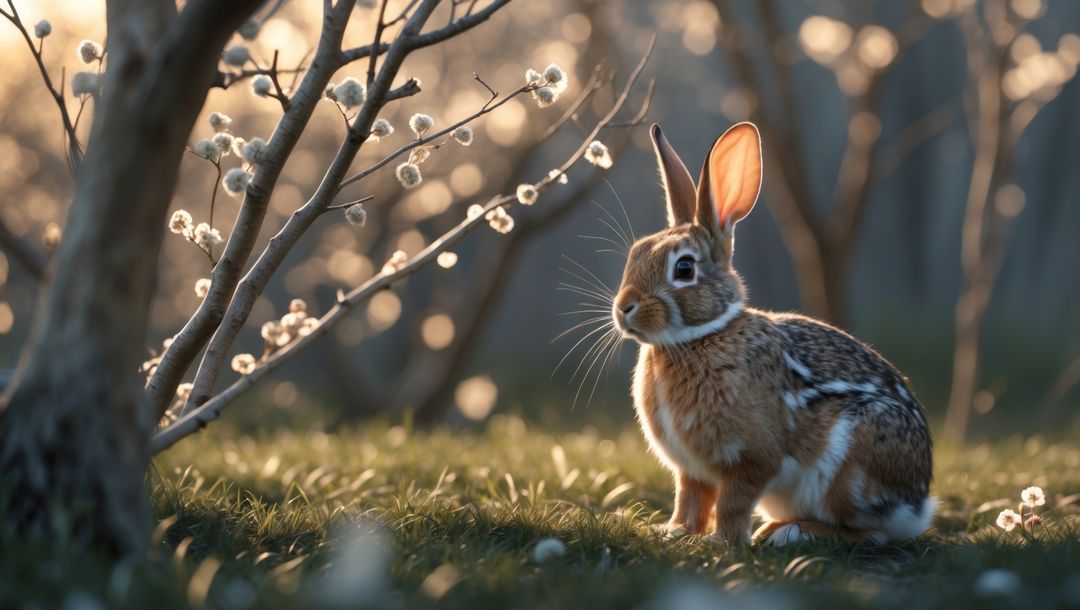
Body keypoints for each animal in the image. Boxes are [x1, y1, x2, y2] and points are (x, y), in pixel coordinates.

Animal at [611, 122, 934, 546]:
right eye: (636, 253)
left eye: (684, 268)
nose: (623, 307)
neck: (696, 338)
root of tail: (920, 503)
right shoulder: (691, 470)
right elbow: (690, 500)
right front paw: (674, 533)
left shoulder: (753, 459)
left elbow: (733, 502)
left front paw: (722, 542)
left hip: (852, 470)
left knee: (867, 531)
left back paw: (788, 533)